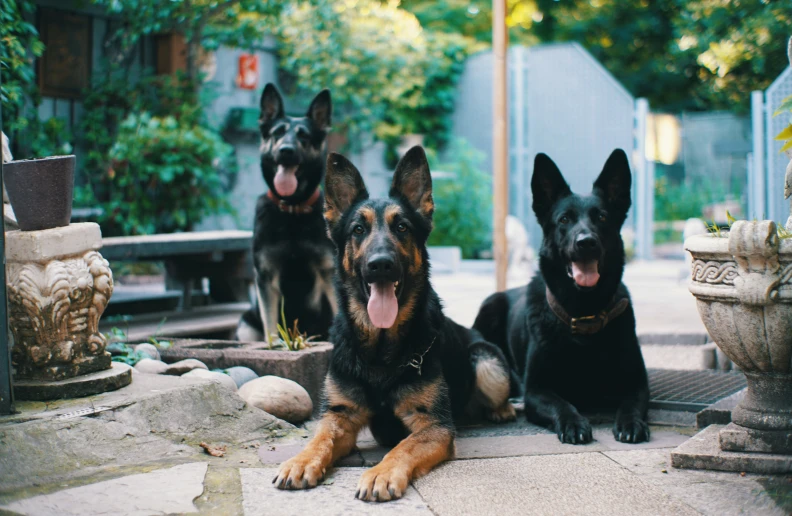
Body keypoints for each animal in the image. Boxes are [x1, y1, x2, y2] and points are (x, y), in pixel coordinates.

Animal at [235, 83, 334, 342]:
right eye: (277, 133)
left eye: (304, 136)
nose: (286, 151)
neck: (292, 209)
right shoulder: (267, 278)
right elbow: (270, 327)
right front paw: (275, 345)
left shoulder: (328, 273)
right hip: (246, 325)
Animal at [276, 147, 516, 502]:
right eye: (357, 230)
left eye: (402, 227)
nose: (380, 265)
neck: (380, 350)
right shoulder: (339, 415)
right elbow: (319, 438)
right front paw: (301, 460)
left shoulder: (433, 425)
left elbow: (402, 447)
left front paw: (381, 473)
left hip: (486, 360)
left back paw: (501, 410)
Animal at [470, 149, 648, 444]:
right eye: (564, 219)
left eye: (601, 217)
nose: (586, 242)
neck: (583, 311)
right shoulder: (536, 390)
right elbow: (561, 404)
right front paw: (573, 423)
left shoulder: (637, 382)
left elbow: (632, 403)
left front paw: (631, 422)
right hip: (489, 306)